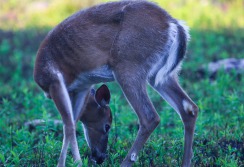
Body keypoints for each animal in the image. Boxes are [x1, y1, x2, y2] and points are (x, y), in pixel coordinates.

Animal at [33, 0, 198, 167]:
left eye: (108, 126)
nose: (100, 157)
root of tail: (174, 24)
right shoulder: (82, 87)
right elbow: (73, 121)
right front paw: (76, 161)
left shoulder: (54, 80)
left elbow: (68, 124)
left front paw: (71, 163)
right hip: (162, 75)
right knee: (189, 108)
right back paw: (186, 161)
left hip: (128, 67)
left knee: (150, 117)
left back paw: (125, 161)